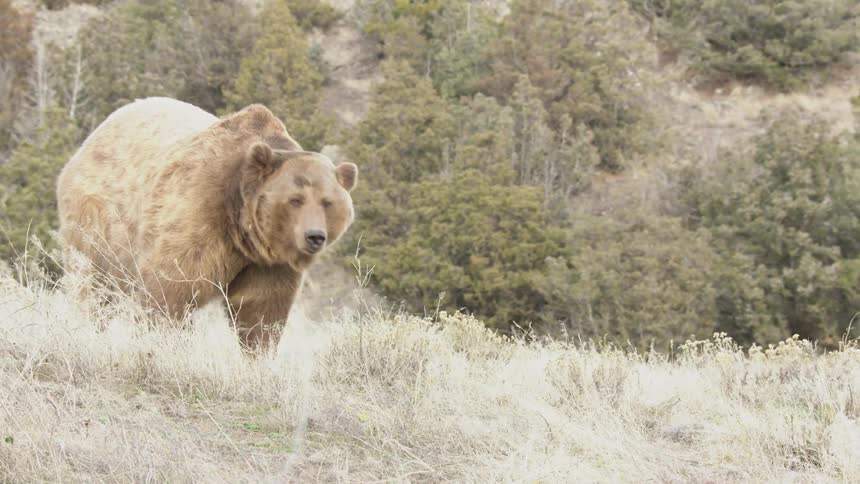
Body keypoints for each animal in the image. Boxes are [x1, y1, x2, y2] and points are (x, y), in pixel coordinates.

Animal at [56, 97, 358, 350]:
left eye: (328, 202)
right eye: (295, 199)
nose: (314, 236)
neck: (243, 228)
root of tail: (90, 139)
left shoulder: (268, 263)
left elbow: (261, 311)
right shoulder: (198, 211)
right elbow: (171, 289)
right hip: (99, 218)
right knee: (93, 281)